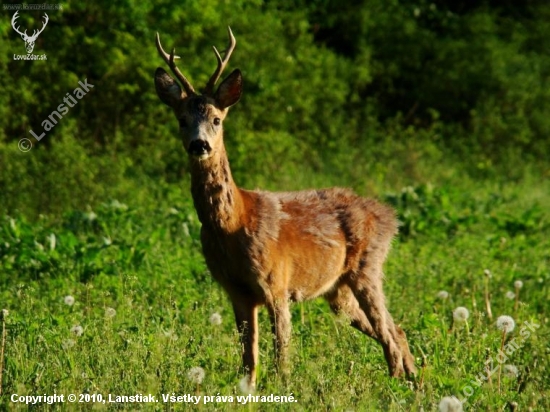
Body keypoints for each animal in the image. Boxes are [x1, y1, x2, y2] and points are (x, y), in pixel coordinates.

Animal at [153, 25, 416, 386]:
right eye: (181, 119)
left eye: (217, 119)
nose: (199, 144)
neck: (232, 225)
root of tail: (389, 216)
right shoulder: (236, 292)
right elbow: (249, 360)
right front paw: (247, 392)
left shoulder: (277, 283)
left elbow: (281, 357)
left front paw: (285, 388)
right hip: (338, 290)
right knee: (397, 330)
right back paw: (415, 382)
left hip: (368, 267)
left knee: (389, 332)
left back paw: (397, 384)